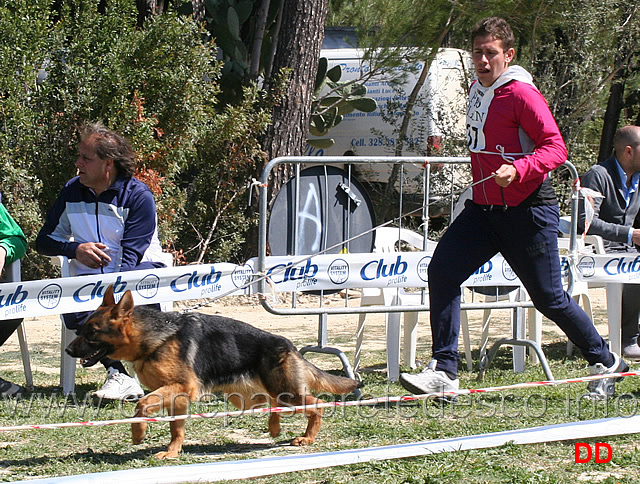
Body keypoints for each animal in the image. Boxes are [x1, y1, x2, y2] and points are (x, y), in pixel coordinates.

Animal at [67, 286, 362, 460]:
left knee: (317, 405)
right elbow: (176, 430)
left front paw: (138, 433)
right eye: (82, 330)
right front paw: (172, 452)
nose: (69, 350)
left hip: (286, 392)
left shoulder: (182, 389)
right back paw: (274, 428)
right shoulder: (178, 399)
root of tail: (288, 345)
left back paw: (307, 437)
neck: (153, 339)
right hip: (249, 397)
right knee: (272, 404)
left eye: (92, 332)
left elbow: (141, 404)